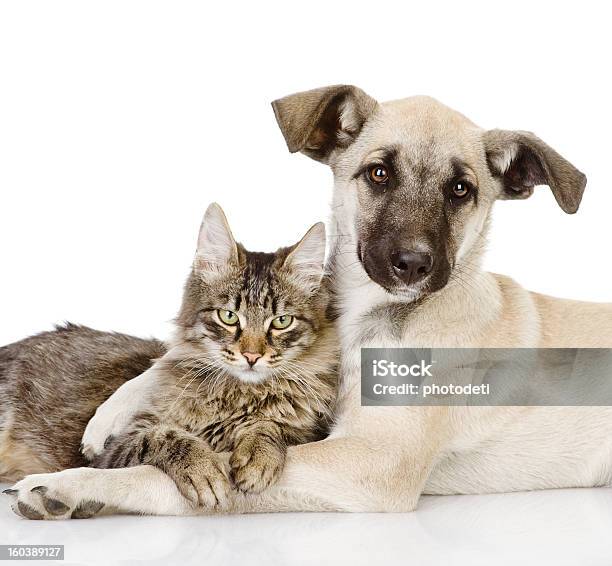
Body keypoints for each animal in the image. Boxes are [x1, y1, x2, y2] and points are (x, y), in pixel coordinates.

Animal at [0, 205, 338, 520]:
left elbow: (271, 427)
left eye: (281, 321)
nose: (252, 356)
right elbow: (164, 437)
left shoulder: (307, 433)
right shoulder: (119, 445)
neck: (238, 397)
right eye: (228, 316)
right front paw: (202, 468)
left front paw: (259, 453)